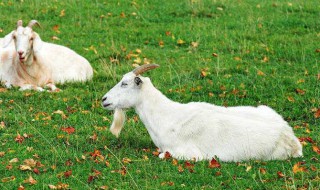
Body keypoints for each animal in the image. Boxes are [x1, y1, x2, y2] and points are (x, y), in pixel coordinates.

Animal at [102, 64, 302, 162]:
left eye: (125, 83)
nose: (104, 99)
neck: (167, 116)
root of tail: (292, 140)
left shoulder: (189, 153)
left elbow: (162, 155)